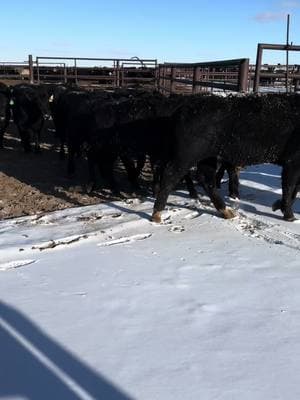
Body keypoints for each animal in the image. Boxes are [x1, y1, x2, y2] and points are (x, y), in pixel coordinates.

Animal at [154, 94, 300, 223]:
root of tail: (183, 109)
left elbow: (295, 189)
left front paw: (278, 206)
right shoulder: (292, 161)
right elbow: (289, 187)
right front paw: (289, 215)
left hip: (208, 157)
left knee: (206, 179)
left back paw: (227, 212)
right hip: (186, 155)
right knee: (170, 176)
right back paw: (157, 215)